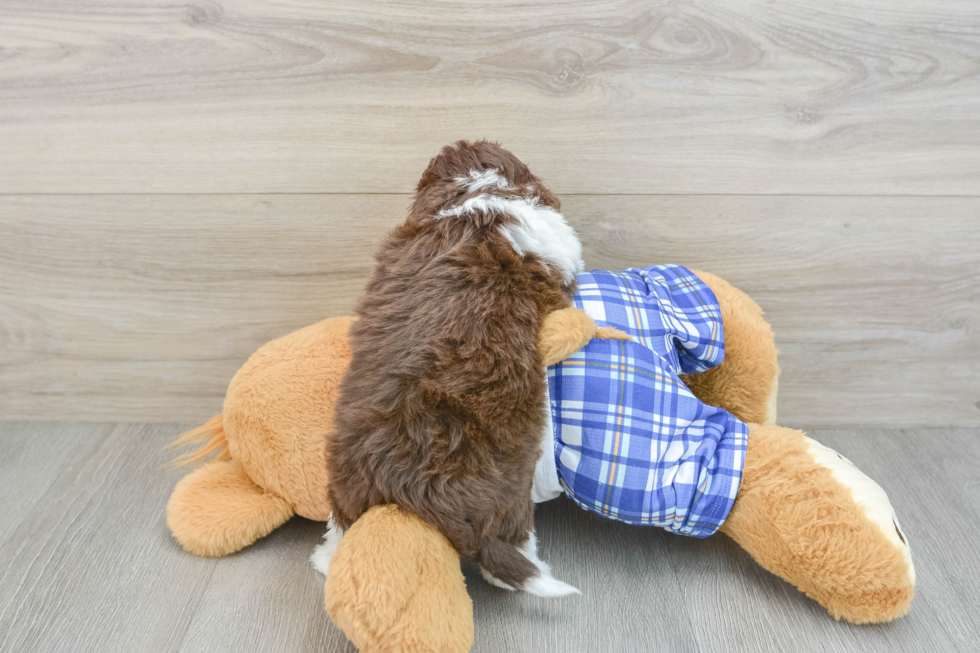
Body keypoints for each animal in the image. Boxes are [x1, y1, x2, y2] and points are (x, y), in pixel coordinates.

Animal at [326, 143, 580, 596]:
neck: (475, 199)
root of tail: (412, 487)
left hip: (346, 480)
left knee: (339, 525)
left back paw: (323, 560)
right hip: (509, 501)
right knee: (510, 548)